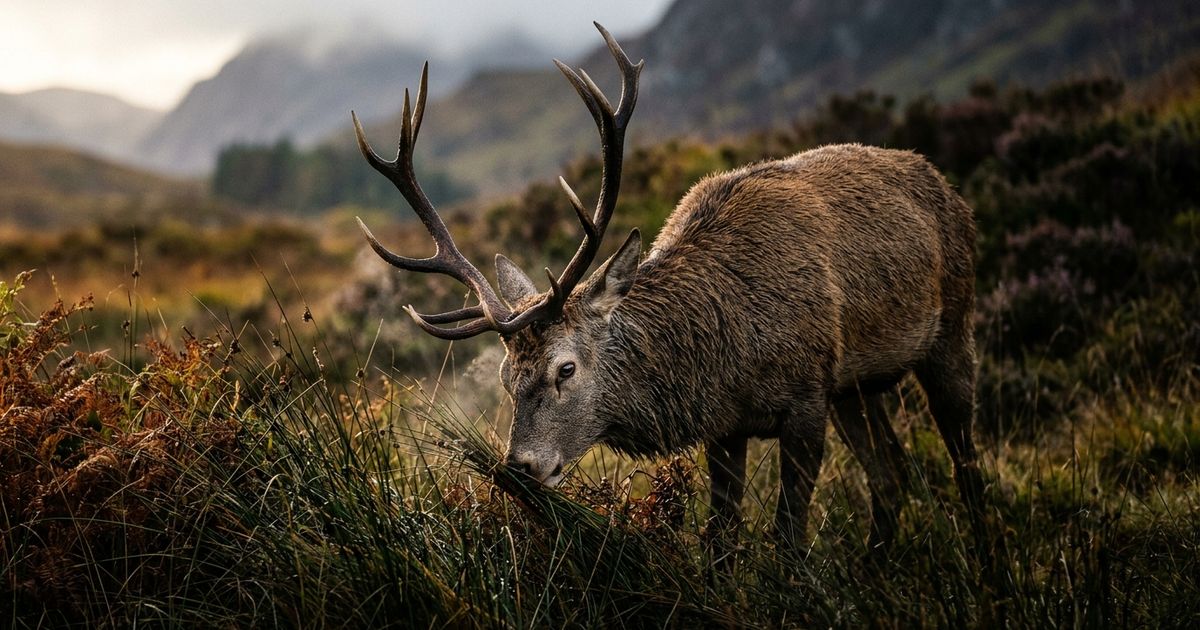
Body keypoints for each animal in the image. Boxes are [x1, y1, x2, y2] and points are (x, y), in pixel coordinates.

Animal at [350, 23, 994, 558]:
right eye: (507, 378)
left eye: (565, 368)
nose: (520, 468)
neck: (726, 356)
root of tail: (946, 185)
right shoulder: (728, 425)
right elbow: (721, 538)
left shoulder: (807, 396)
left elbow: (788, 538)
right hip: (859, 386)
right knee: (893, 474)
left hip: (952, 328)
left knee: (966, 464)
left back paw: (992, 574)